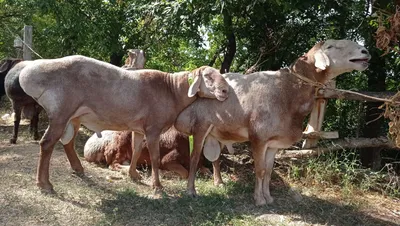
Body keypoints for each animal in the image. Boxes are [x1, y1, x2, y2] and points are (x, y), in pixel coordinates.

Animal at [83, 127, 211, 178]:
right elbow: (185, 173)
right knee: (113, 164)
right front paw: (163, 173)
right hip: (120, 146)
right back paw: (137, 171)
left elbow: (206, 170)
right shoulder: (167, 159)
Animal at [175, 39, 372, 206]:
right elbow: (260, 170)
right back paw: (191, 190)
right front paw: (259, 200)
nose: (365, 51)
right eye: (331, 46)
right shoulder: (259, 139)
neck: (287, 92)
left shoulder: (273, 144)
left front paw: (268, 197)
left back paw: (219, 182)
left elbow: (269, 172)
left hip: (220, 132)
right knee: (194, 158)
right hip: (201, 127)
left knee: (216, 159)